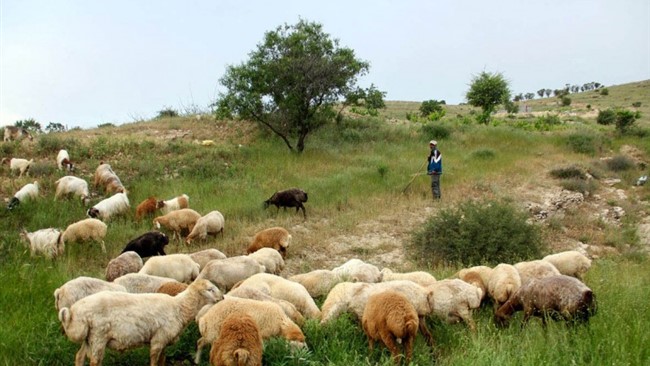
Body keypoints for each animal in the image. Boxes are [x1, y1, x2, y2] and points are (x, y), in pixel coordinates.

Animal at [60, 278, 223, 366]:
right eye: (210, 289)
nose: (222, 298)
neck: (179, 307)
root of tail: (75, 312)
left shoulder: (164, 340)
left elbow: (162, 360)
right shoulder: (158, 340)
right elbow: (154, 361)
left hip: (89, 338)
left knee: (79, 356)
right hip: (99, 337)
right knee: (94, 361)